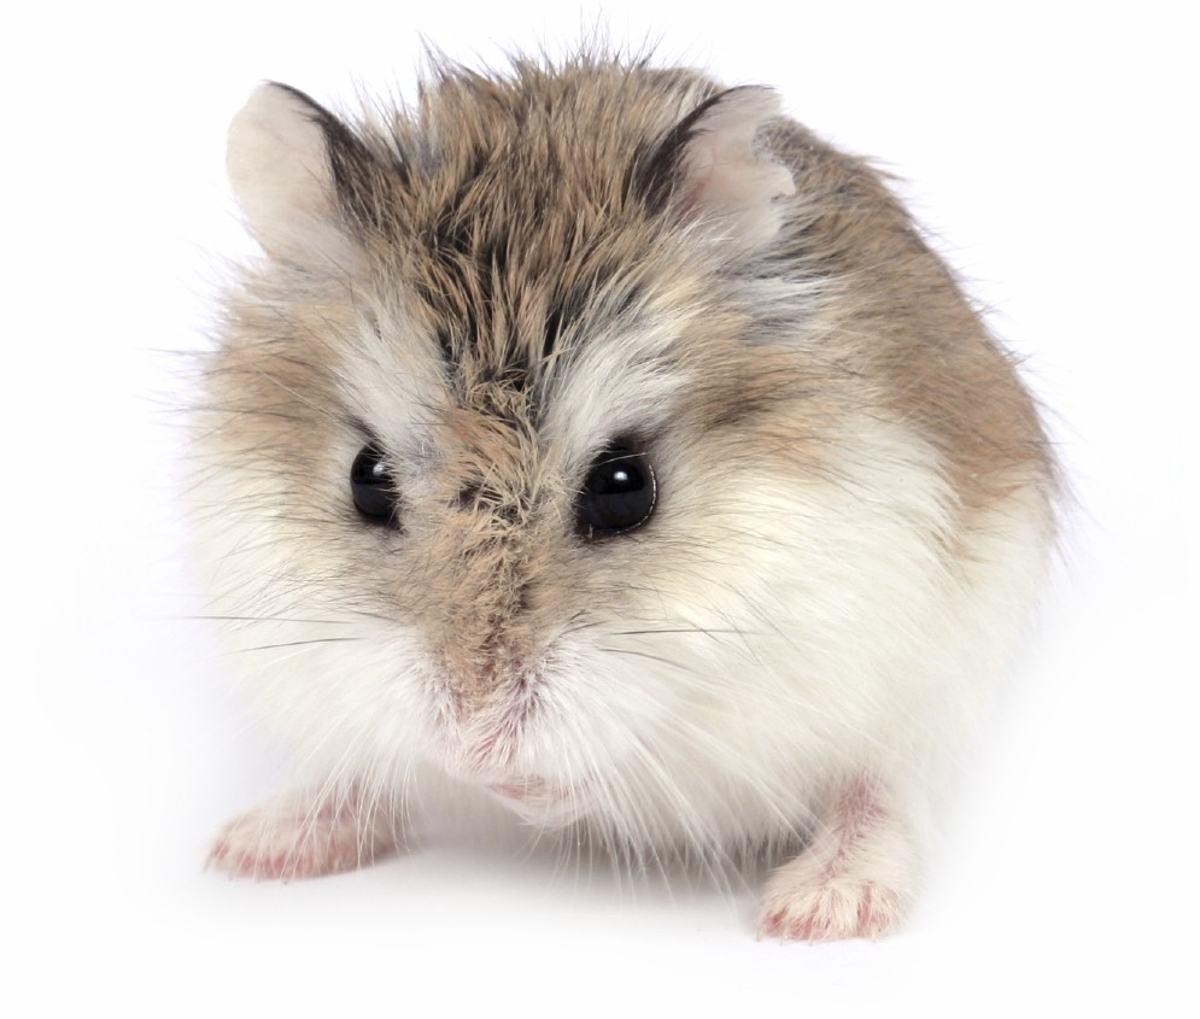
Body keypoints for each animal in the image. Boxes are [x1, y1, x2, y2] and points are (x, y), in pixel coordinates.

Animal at [193, 53, 1055, 940]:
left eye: (624, 488)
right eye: (366, 478)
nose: (472, 742)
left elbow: (625, 751)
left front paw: (522, 787)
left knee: (886, 790)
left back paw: (823, 905)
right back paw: (255, 845)